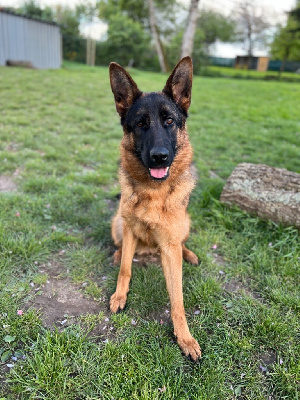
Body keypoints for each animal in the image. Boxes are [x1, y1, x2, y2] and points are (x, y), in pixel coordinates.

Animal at [109, 57, 200, 362]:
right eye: (140, 124)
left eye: (169, 121)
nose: (159, 156)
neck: (154, 192)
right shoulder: (129, 228)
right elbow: (125, 269)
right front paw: (119, 296)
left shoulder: (170, 246)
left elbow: (178, 299)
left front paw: (184, 338)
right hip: (117, 223)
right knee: (123, 249)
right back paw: (117, 253)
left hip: (185, 223)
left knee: (182, 243)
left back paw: (189, 254)